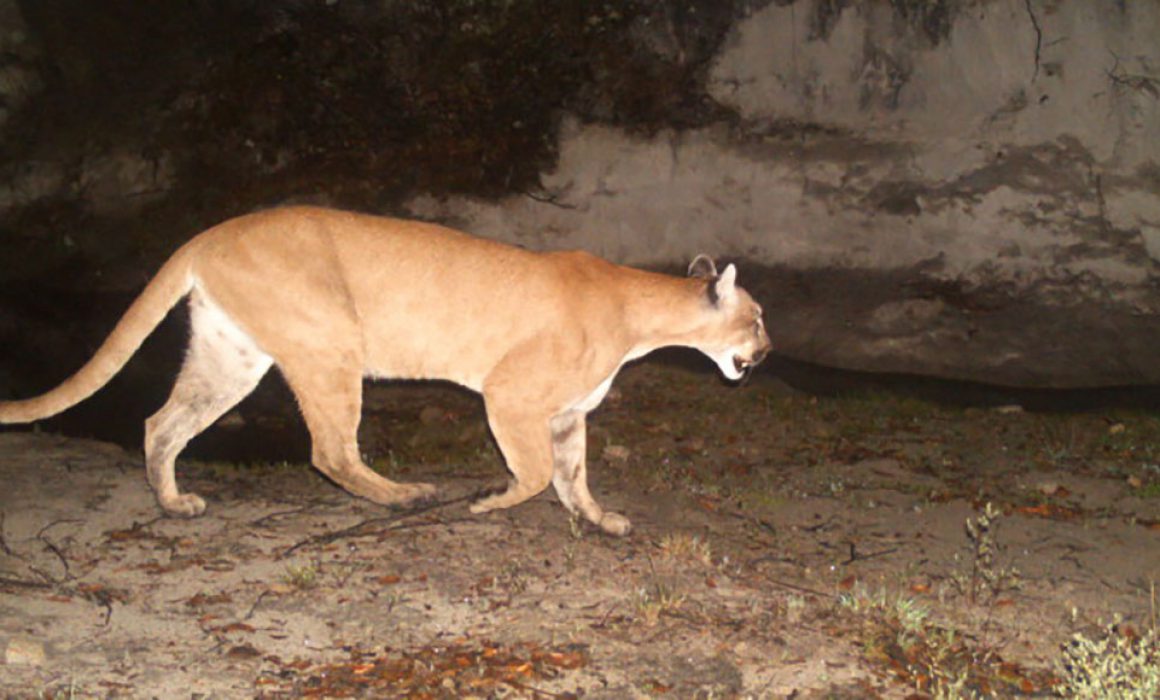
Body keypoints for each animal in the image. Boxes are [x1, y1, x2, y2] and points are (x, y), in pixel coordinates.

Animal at [4, 207, 774, 536]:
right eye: (759, 318)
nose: (767, 353)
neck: (643, 311)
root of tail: (209, 232)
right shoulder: (511, 395)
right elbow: (531, 475)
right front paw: (489, 504)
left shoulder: (567, 412)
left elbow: (571, 475)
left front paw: (599, 519)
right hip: (330, 344)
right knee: (329, 451)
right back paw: (404, 497)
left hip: (232, 356)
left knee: (162, 422)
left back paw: (172, 503)